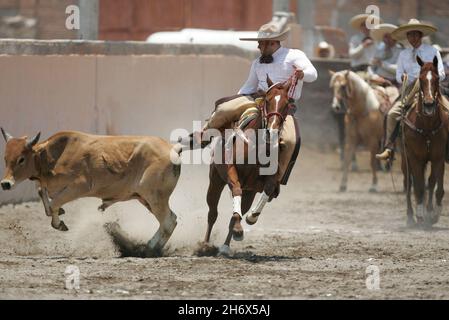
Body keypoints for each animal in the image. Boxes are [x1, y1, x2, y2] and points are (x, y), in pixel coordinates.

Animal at [1, 129, 181, 256]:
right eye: (5, 158)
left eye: (21, 159)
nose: (5, 184)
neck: (54, 157)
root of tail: (172, 148)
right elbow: (42, 194)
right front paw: (60, 213)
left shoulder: (78, 187)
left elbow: (53, 204)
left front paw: (59, 224)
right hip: (146, 199)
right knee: (171, 219)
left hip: (155, 198)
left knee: (168, 222)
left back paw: (147, 250)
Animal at [198, 76, 292, 256]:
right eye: (268, 100)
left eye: (287, 104)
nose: (271, 131)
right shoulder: (230, 171)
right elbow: (236, 189)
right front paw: (238, 226)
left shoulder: (265, 181)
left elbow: (267, 190)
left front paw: (251, 217)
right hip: (215, 180)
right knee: (212, 213)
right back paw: (205, 245)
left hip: (250, 191)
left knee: (238, 211)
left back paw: (226, 246)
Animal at [400, 56, 446, 229]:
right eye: (420, 79)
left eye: (437, 78)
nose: (429, 104)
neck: (426, 127)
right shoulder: (414, 157)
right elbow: (419, 186)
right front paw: (420, 215)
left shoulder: (438, 157)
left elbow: (434, 184)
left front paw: (432, 214)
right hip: (404, 158)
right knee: (408, 183)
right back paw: (410, 217)